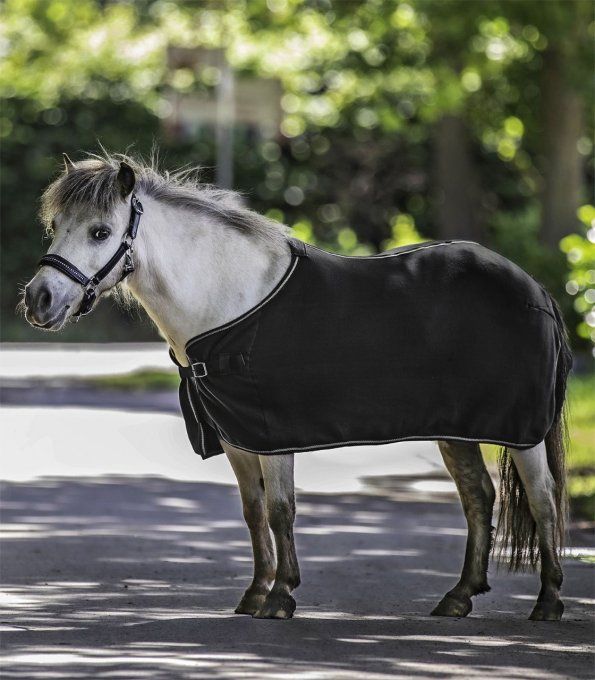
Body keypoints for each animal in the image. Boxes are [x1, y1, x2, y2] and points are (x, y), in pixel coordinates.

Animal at [24, 153, 572, 620]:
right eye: (54, 227)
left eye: (100, 231)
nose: (38, 300)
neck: (228, 300)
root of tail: (536, 289)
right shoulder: (237, 438)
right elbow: (253, 512)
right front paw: (255, 592)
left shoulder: (272, 434)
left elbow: (281, 510)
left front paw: (281, 596)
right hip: (456, 430)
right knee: (479, 496)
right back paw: (458, 597)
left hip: (521, 432)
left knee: (544, 499)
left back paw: (547, 602)